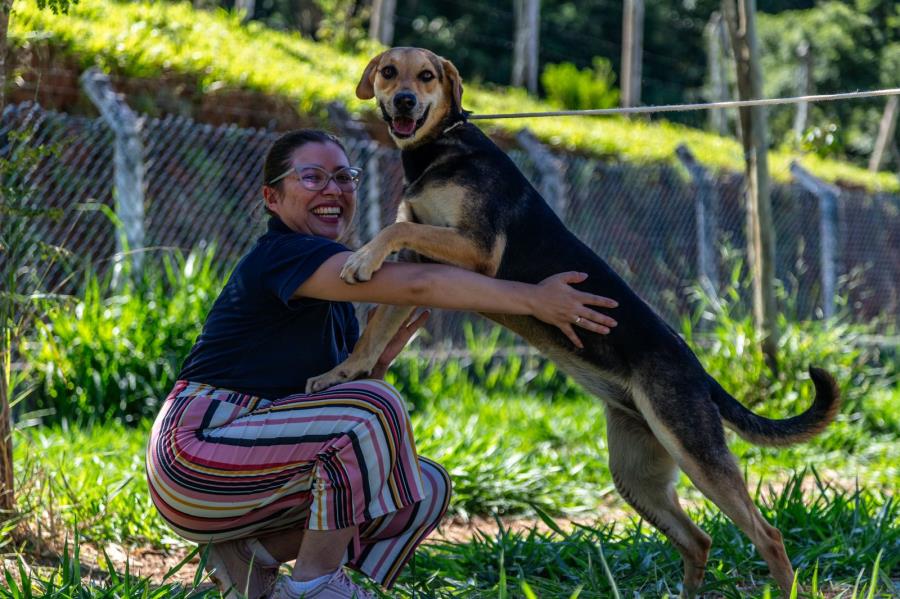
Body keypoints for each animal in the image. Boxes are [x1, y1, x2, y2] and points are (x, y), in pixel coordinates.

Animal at [306, 45, 840, 596]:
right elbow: (375, 330)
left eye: (427, 75)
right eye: (390, 72)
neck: (441, 146)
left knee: (768, 534)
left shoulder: (475, 249)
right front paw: (344, 372)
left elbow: (391, 232)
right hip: (636, 475)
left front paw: (359, 259)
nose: (406, 100)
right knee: (699, 540)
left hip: (695, 453)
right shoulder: (418, 265)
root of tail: (700, 373)